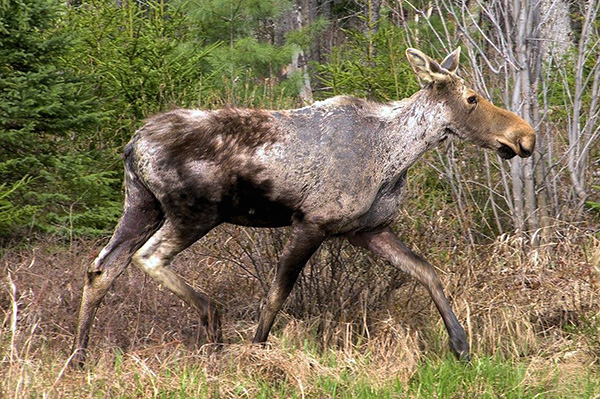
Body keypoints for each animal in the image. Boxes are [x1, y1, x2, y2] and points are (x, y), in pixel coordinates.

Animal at [69, 46, 536, 366]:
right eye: (472, 98)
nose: (524, 136)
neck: (395, 155)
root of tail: (132, 145)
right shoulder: (313, 222)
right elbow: (277, 294)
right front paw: (256, 351)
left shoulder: (365, 229)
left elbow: (427, 272)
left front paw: (461, 345)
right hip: (193, 212)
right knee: (148, 258)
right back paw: (213, 321)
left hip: (141, 206)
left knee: (101, 268)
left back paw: (79, 356)